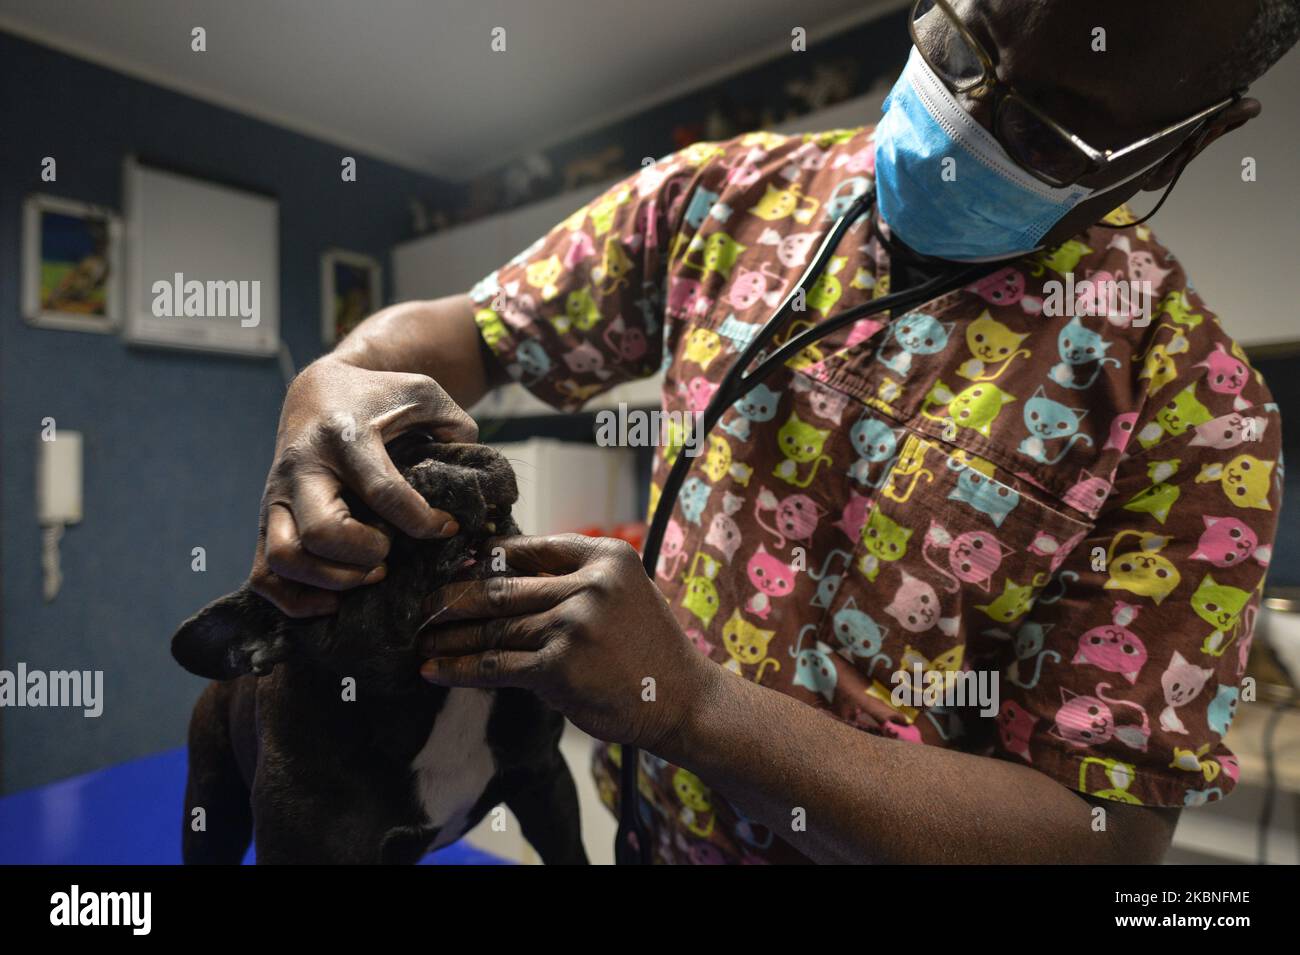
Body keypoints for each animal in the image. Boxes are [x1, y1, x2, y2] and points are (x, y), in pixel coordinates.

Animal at [170, 441, 587, 867]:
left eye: (421, 435)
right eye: (353, 538)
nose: (422, 466)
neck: (438, 693)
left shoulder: (548, 783)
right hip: (212, 806)